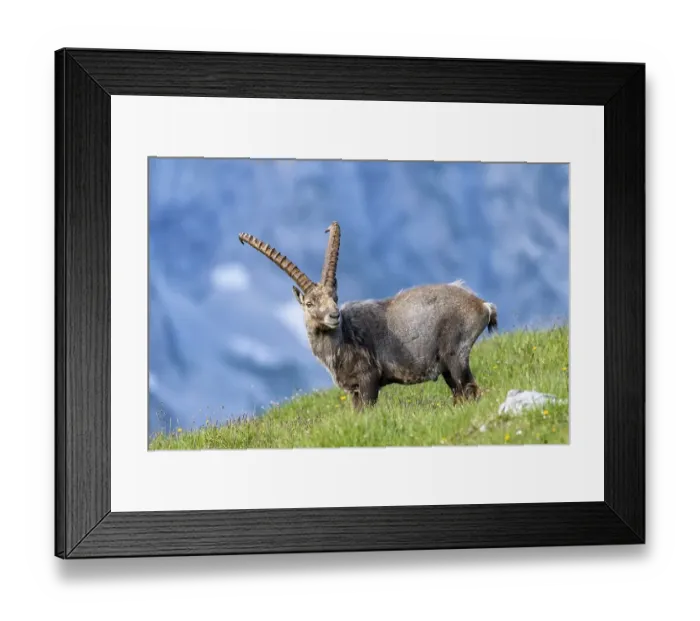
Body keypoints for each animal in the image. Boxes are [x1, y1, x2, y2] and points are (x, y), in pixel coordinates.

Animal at [239, 222, 497, 411]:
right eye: (310, 303)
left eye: (335, 296)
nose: (334, 316)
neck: (341, 341)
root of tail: (482, 305)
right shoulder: (353, 390)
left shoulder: (368, 380)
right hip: (446, 367)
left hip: (456, 356)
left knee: (471, 389)